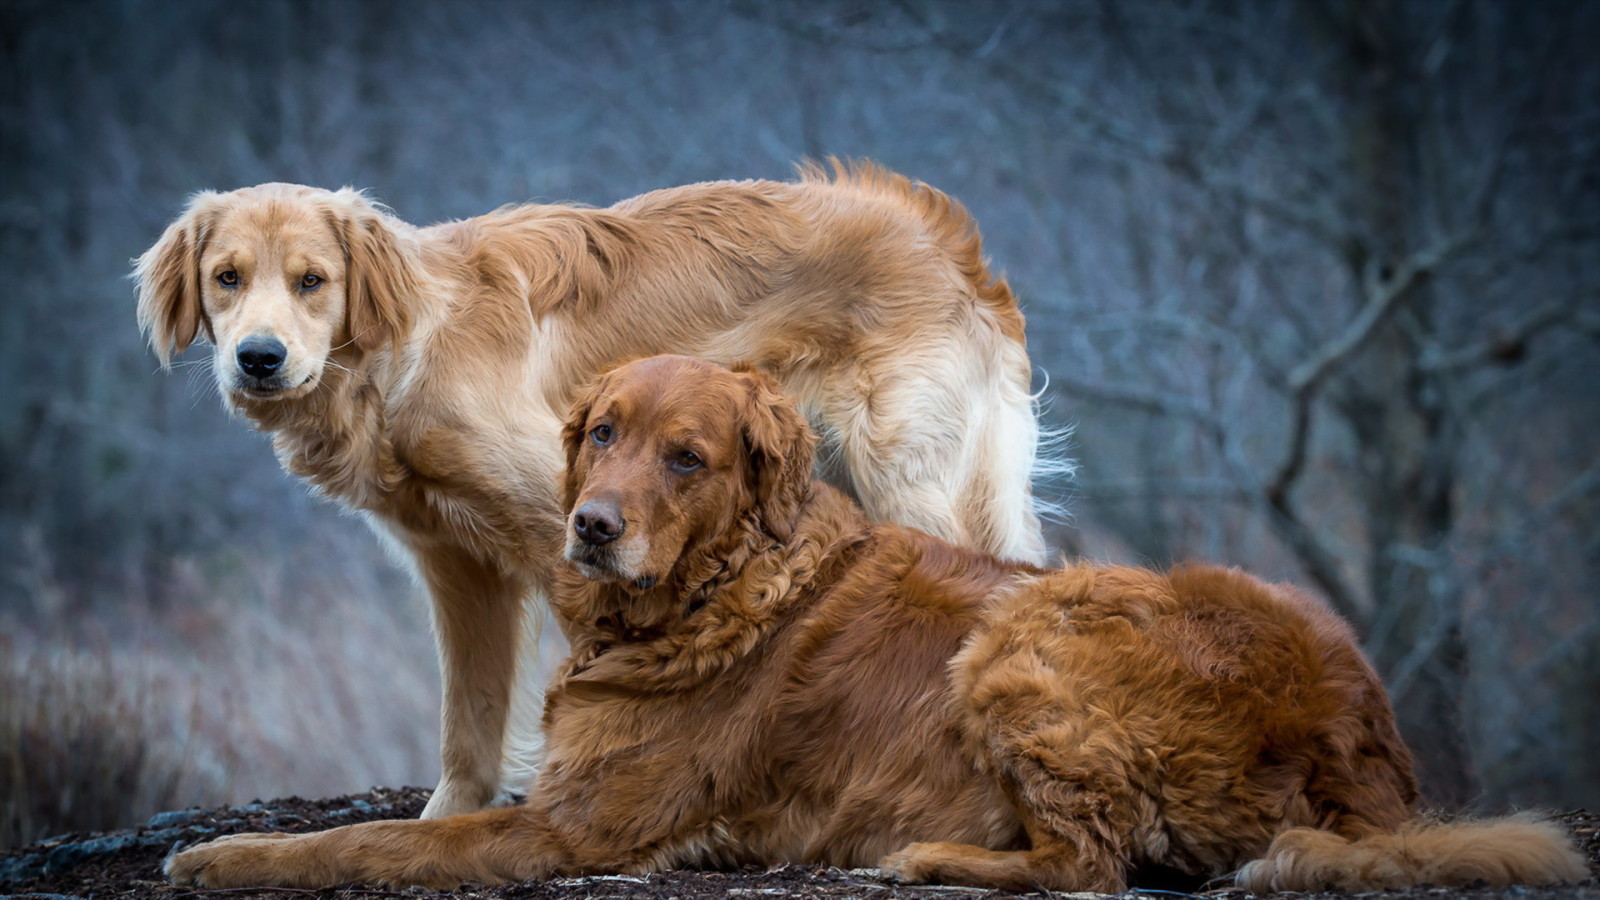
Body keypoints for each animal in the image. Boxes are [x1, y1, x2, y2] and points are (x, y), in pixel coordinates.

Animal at [137, 159, 1056, 813]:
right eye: (226, 277)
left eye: (312, 281)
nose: (259, 358)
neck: (409, 347)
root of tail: (939, 235)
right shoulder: (460, 568)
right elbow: (468, 722)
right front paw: (448, 817)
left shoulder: (566, 532)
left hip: (911, 480)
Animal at [162, 357, 1587, 890]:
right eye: (601, 434)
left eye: (688, 459)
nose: (593, 529)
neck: (716, 592)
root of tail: (1368, 741)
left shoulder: (576, 827)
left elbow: (362, 843)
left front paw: (225, 858)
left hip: (1028, 629)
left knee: (1093, 861)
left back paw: (931, 858)